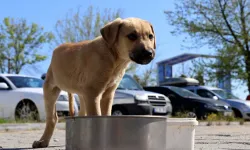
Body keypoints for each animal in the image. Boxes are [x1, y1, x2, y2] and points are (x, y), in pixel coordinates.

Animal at [31, 16, 156, 148]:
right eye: (132, 36)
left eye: (150, 36)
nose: (149, 53)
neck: (113, 57)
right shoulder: (93, 94)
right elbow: (96, 117)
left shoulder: (107, 95)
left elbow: (106, 115)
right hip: (50, 89)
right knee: (52, 118)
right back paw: (42, 141)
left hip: (82, 94)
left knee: (81, 114)